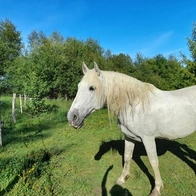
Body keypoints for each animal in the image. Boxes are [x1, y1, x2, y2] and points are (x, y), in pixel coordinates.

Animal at [67, 62, 196, 195]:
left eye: (92, 88)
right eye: (78, 86)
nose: (72, 117)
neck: (134, 106)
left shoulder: (148, 139)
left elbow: (154, 162)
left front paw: (157, 188)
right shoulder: (129, 137)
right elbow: (127, 156)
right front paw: (123, 178)